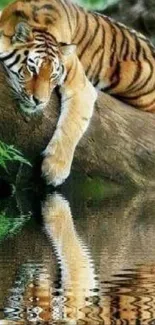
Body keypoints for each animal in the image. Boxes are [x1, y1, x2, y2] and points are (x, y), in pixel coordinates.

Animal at [0, 0, 155, 185]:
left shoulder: (81, 85)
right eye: (32, 69)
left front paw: (55, 169)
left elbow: (72, 124)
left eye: (53, 75)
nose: (40, 101)